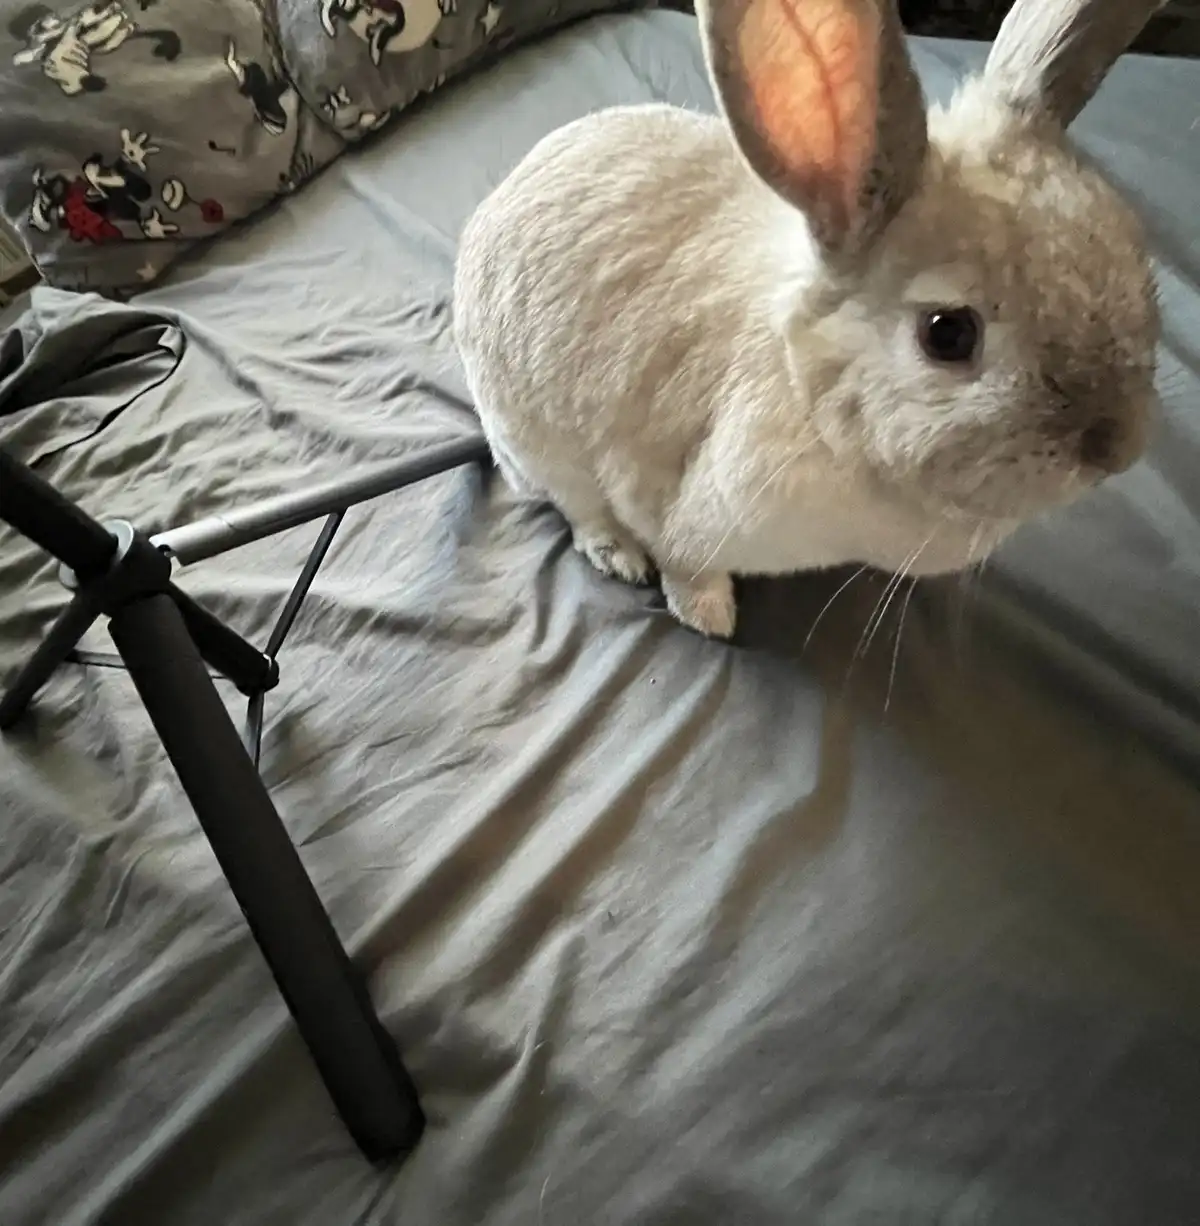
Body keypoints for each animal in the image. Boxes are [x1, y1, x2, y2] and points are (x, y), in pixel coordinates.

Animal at [453, 0, 1165, 639]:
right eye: (948, 334)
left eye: (1138, 257)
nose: (1120, 449)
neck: (812, 398)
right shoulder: (674, 504)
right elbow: (683, 561)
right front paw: (709, 617)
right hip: (534, 444)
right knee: (575, 507)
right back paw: (617, 555)